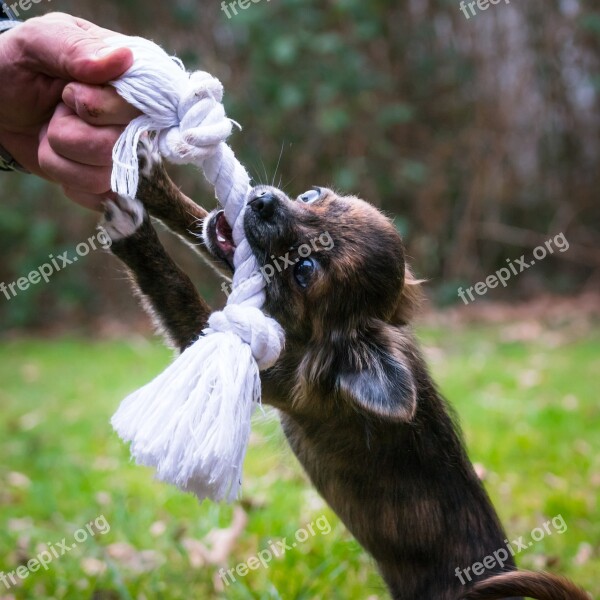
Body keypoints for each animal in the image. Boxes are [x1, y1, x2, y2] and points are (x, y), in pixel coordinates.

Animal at [102, 154, 584, 600]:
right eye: (310, 196)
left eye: (305, 270)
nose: (261, 200)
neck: (315, 341)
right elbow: (200, 222)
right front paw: (154, 183)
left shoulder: (267, 369)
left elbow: (174, 287)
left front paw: (134, 232)